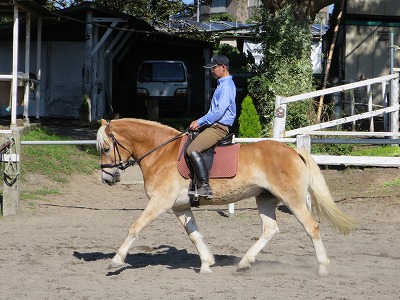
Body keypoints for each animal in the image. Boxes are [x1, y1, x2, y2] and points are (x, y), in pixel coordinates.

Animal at [97, 116, 356, 274]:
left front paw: (117, 259)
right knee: (270, 229)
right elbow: (194, 235)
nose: (107, 179)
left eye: (106, 148)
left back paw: (322, 267)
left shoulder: (159, 202)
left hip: (293, 200)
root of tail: (293, 151)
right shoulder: (179, 206)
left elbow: (135, 227)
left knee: (311, 227)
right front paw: (206, 263)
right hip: (264, 198)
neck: (161, 153)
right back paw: (244, 262)